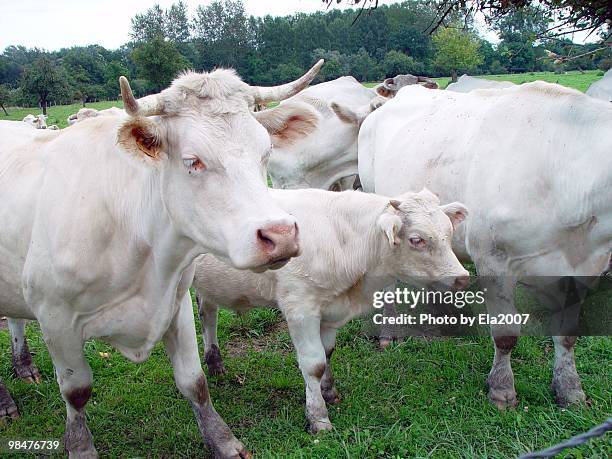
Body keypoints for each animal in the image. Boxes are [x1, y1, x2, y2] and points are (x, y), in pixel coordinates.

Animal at [0, 60, 326, 456]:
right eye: (193, 161)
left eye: (265, 153)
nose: (280, 236)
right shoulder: (55, 317)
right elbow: (76, 392)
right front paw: (80, 446)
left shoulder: (175, 299)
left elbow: (193, 380)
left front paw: (223, 440)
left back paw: (24, 367)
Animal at [196, 189, 468, 434]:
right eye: (417, 239)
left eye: (449, 232)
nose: (462, 278)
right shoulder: (300, 308)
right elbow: (314, 364)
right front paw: (318, 418)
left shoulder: (330, 310)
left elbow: (327, 353)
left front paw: (329, 392)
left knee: (208, 313)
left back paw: (215, 361)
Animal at [358, 82, 612, 410]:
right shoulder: (494, 260)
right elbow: (506, 334)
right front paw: (502, 390)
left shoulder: (584, 267)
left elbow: (567, 333)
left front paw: (570, 389)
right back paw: (389, 331)